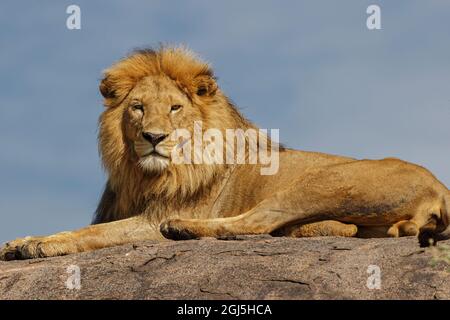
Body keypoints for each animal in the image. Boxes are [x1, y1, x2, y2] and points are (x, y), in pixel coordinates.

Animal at [1, 45, 448, 260]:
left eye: (175, 108)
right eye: (138, 107)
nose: (153, 137)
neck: (146, 174)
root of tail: (440, 189)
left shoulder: (151, 219)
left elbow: (92, 233)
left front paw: (40, 245)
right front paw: (20, 241)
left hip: (325, 180)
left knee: (257, 223)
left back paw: (182, 229)